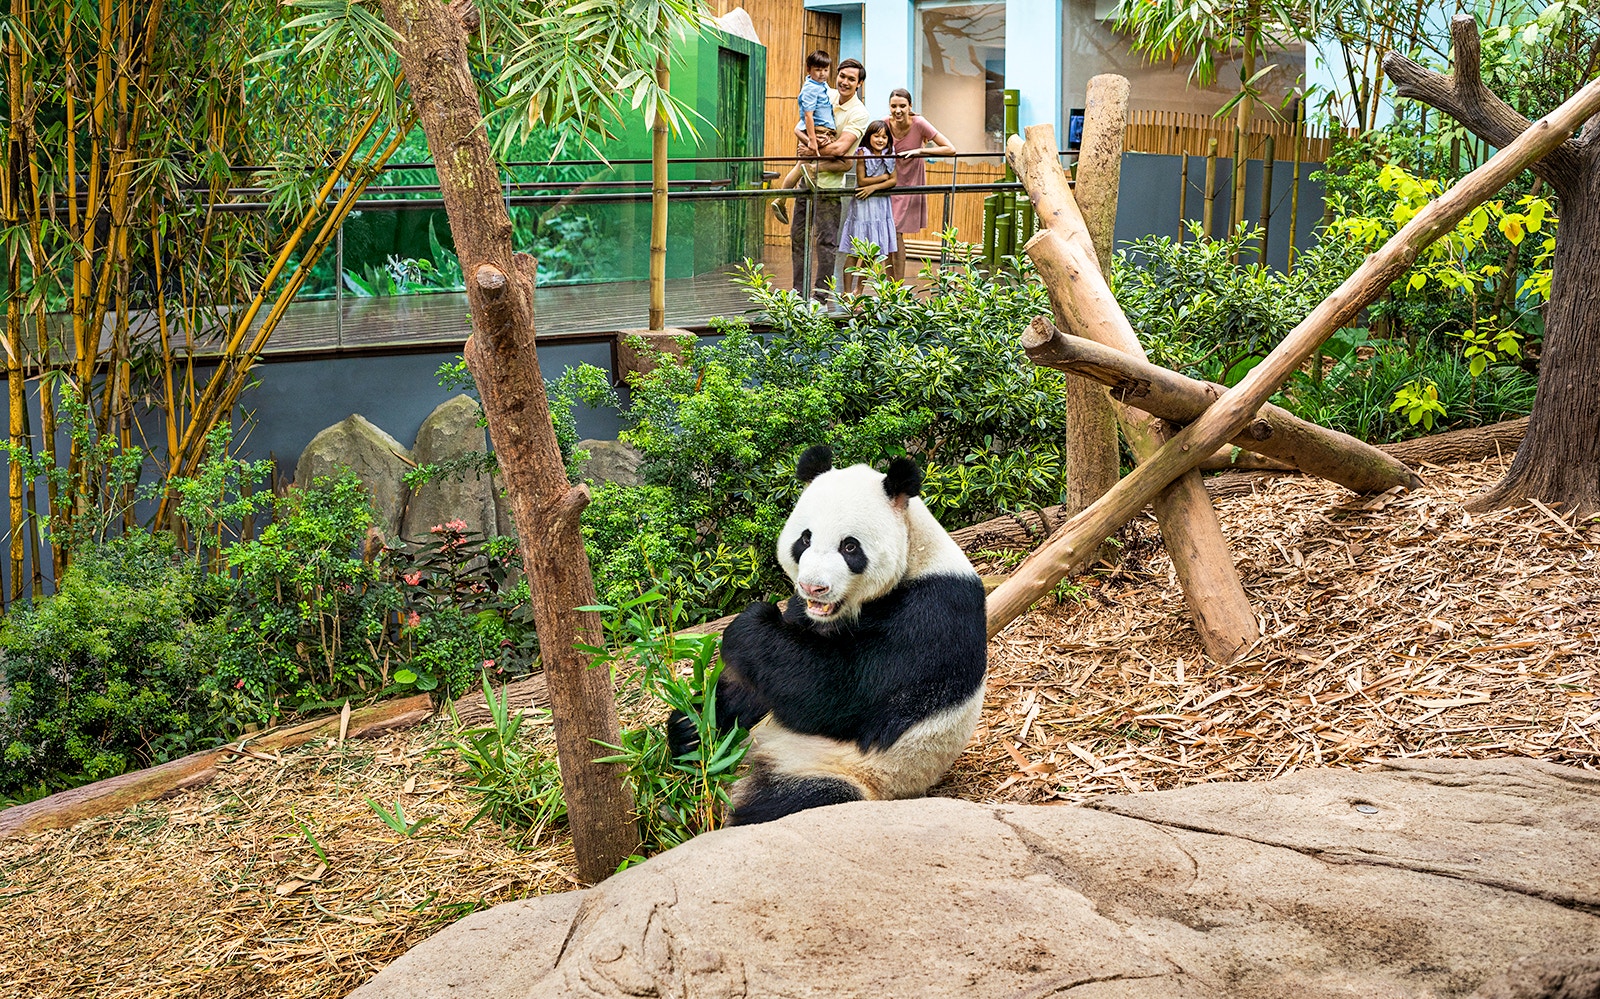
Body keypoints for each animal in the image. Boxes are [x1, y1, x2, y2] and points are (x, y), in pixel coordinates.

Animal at [669, 445, 988, 826]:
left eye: (850, 547)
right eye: (804, 538)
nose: (813, 587)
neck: (916, 552)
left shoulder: (933, 612)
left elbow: (840, 694)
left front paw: (749, 626)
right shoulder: (804, 613)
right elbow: (764, 684)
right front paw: (693, 725)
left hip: (841, 770)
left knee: (792, 802)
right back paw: (688, 736)